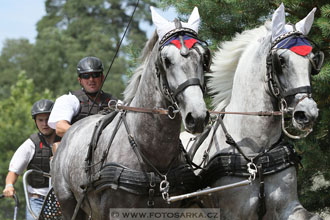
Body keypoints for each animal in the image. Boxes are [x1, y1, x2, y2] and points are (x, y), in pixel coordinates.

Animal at [183, 3, 324, 220]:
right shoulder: (231, 213)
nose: (307, 113)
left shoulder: (289, 208)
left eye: (312, 62)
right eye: (281, 60)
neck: (258, 152)